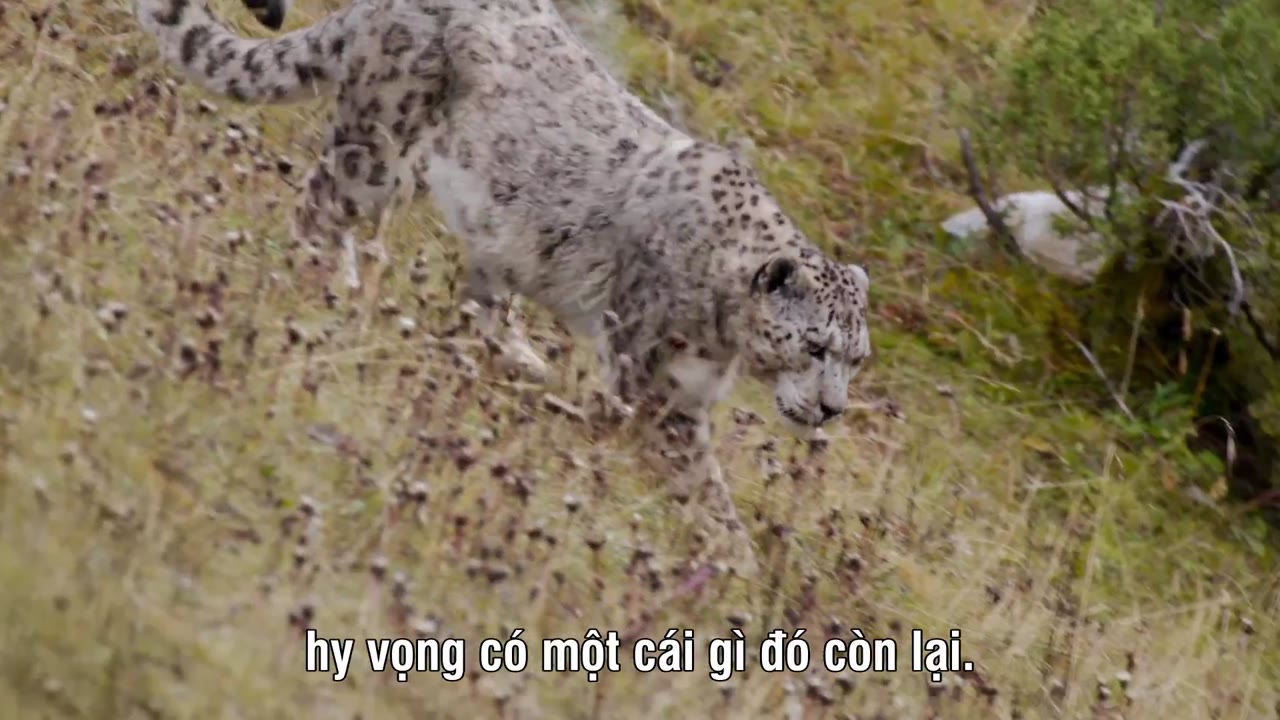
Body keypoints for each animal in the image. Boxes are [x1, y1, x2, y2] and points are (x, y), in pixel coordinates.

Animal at [133, 0, 873, 575]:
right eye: (813, 346)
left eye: (856, 358)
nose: (832, 408)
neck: (725, 345)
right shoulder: (658, 389)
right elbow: (703, 486)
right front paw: (739, 565)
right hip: (380, 150)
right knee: (320, 199)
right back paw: (331, 282)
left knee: (478, 292)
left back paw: (512, 352)